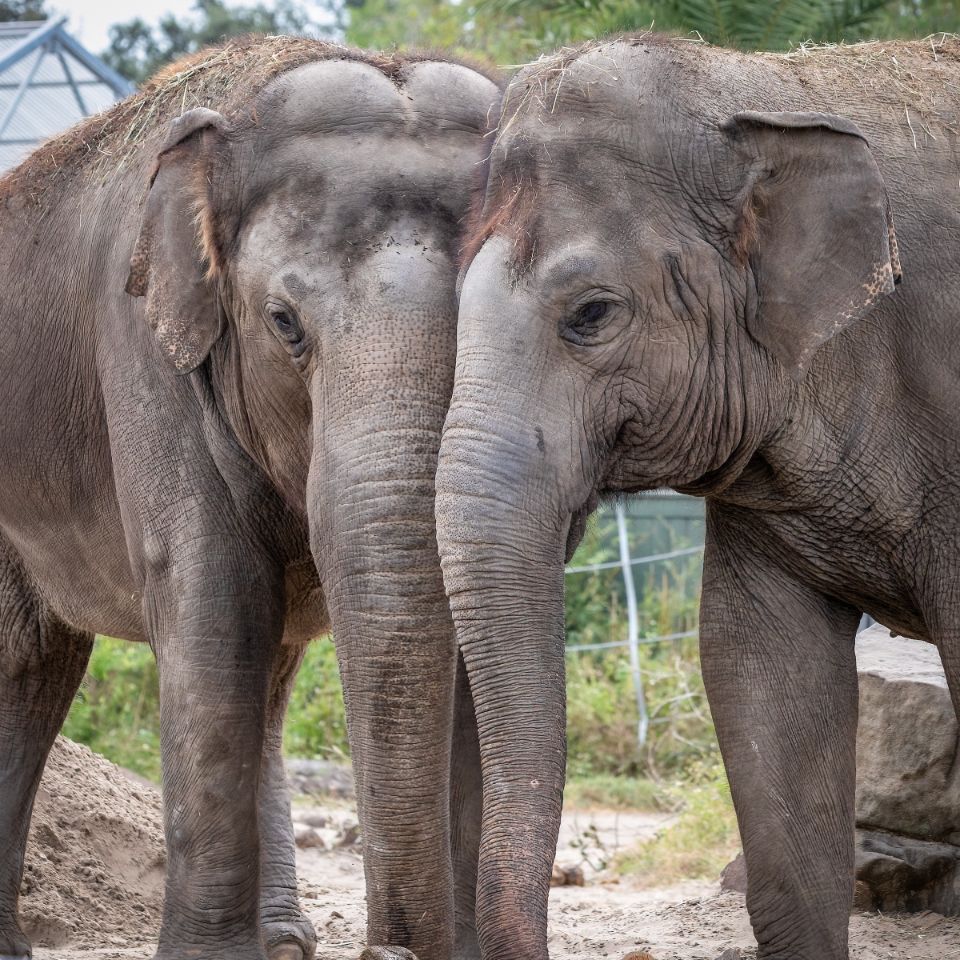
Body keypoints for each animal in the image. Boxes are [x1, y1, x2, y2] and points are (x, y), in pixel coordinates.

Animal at [0, 36, 498, 960]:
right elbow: (214, 598)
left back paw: (283, 943)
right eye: (283, 323)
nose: (390, 948)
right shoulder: (143, 348)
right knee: (31, 659)